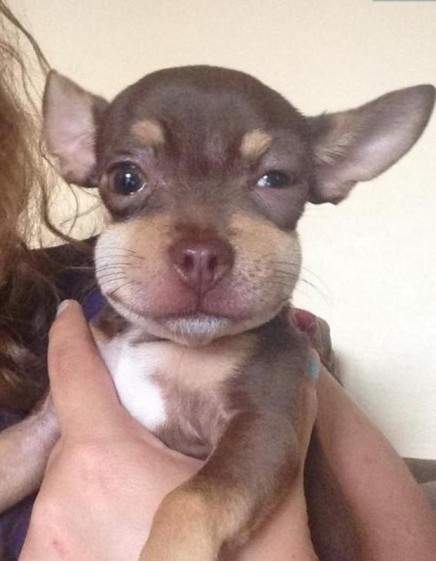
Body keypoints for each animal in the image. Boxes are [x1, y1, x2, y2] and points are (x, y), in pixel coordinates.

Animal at [0, 65, 434, 561]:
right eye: (126, 178)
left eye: (276, 179)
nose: (201, 254)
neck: (168, 344)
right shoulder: (45, 425)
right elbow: (10, 453)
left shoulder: (263, 426)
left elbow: (189, 499)